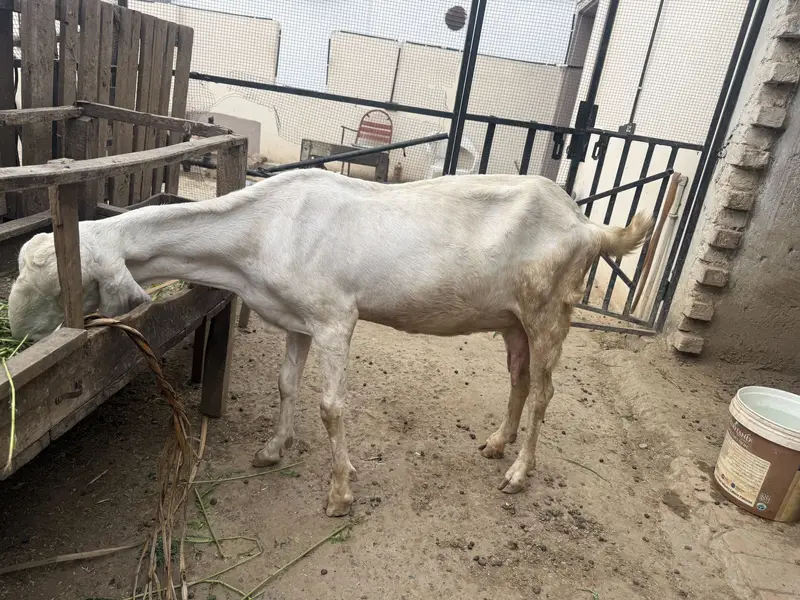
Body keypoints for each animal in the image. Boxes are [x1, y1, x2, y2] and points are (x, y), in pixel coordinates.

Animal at [9, 168, 653, 516]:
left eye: (54, 275)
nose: (17, 332)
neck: (263, 228)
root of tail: (585, 224)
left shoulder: (335, 318)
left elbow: (331, 406)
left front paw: (340, 493)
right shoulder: (295, 319)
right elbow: (285, 384)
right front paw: (274, 449)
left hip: (550, 311)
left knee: (544, 393)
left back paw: (519, 472)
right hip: (514, 316)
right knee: (519, 378)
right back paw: (497, 443)